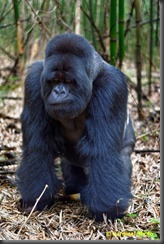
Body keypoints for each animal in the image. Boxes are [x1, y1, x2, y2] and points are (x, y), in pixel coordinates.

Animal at [16, 33, 135, 222]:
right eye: (54, 81)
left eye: (69, 81)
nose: (59, 92)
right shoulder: (34, 81)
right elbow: (38, 147)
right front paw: (35, 200)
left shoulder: (111, 86)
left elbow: (103, 153)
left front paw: (107, 210)